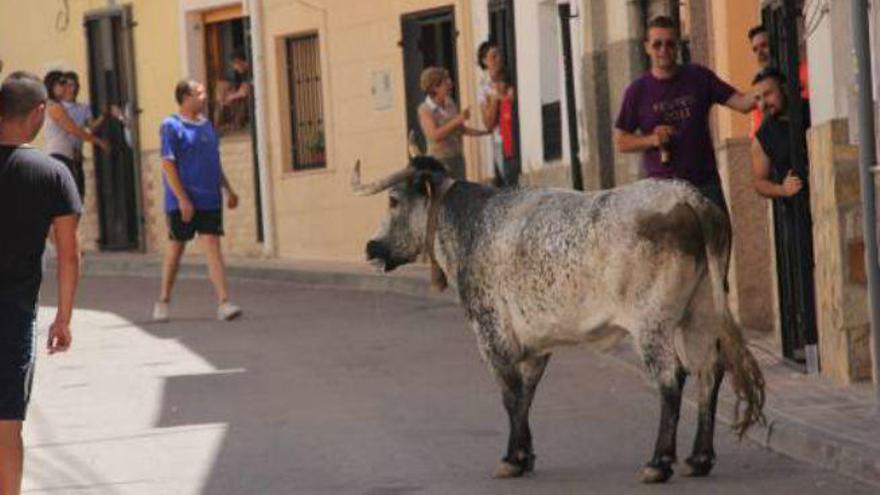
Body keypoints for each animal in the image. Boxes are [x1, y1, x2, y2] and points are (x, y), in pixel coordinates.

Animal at [350, 155, 764, 484]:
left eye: (393, 200)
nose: (371, 247)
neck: (472, 223)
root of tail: (688, 198)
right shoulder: (536, 343)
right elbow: (526, 395)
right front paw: (525, 455)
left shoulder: (492, 334)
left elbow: (510, 395)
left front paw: (511, 458)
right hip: (699, 312)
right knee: (709, 371)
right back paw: (699, 459)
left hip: (653, 323)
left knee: (671, 378)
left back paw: (658, 463)